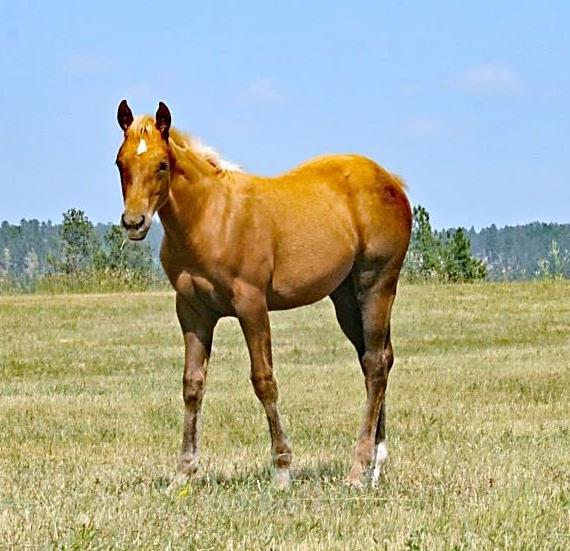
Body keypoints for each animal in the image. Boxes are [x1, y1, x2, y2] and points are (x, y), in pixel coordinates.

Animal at [115, 100, 412, 488]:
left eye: (162, 164)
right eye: (120, 163)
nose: (134, 222)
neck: (211, 217)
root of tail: (392, 181)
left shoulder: (251, 304)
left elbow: (264, 380)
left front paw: (282, 469)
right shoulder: (193, 311)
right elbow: (192, 385)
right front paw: (183, 472)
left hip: (375, 284)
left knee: (376, 363)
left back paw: (358, 469)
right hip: (346, 298)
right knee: (375, 359)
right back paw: (376, 463)